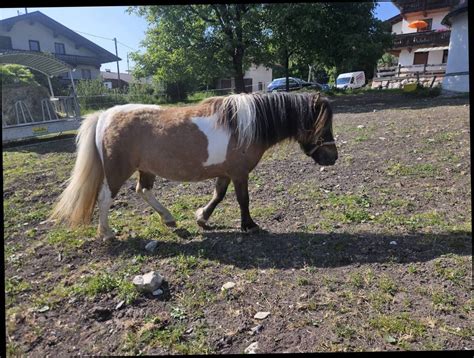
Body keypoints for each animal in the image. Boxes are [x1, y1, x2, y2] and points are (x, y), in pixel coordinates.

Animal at [51, 91, 336, 238]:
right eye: (322, 125)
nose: (332, 157)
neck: (244, 124)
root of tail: (105, 115)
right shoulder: (240, 173)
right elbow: (243, 199)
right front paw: (249, 225)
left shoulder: (226, 171)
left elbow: (218, 195)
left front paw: (202, 217)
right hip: (117, 172)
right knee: (104, 198)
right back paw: (107, 231)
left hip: (145, 169)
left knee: (143, 191)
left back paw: (168, 219)